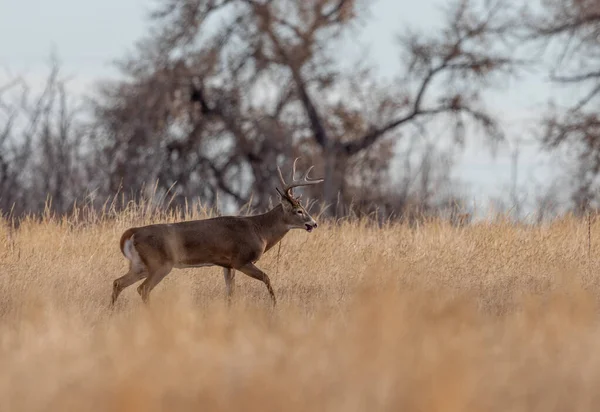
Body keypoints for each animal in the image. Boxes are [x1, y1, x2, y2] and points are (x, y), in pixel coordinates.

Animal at [111, 159, 324, 308]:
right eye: (299, 211)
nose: (313, 223)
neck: (259, 229)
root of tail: (133, 232)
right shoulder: (241, 260)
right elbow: (266, 278)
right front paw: (274, 306)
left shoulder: (227, 265)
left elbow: (230, 292)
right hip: (160, 263)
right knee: (142, 289)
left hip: (140, 265)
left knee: (118, 282)